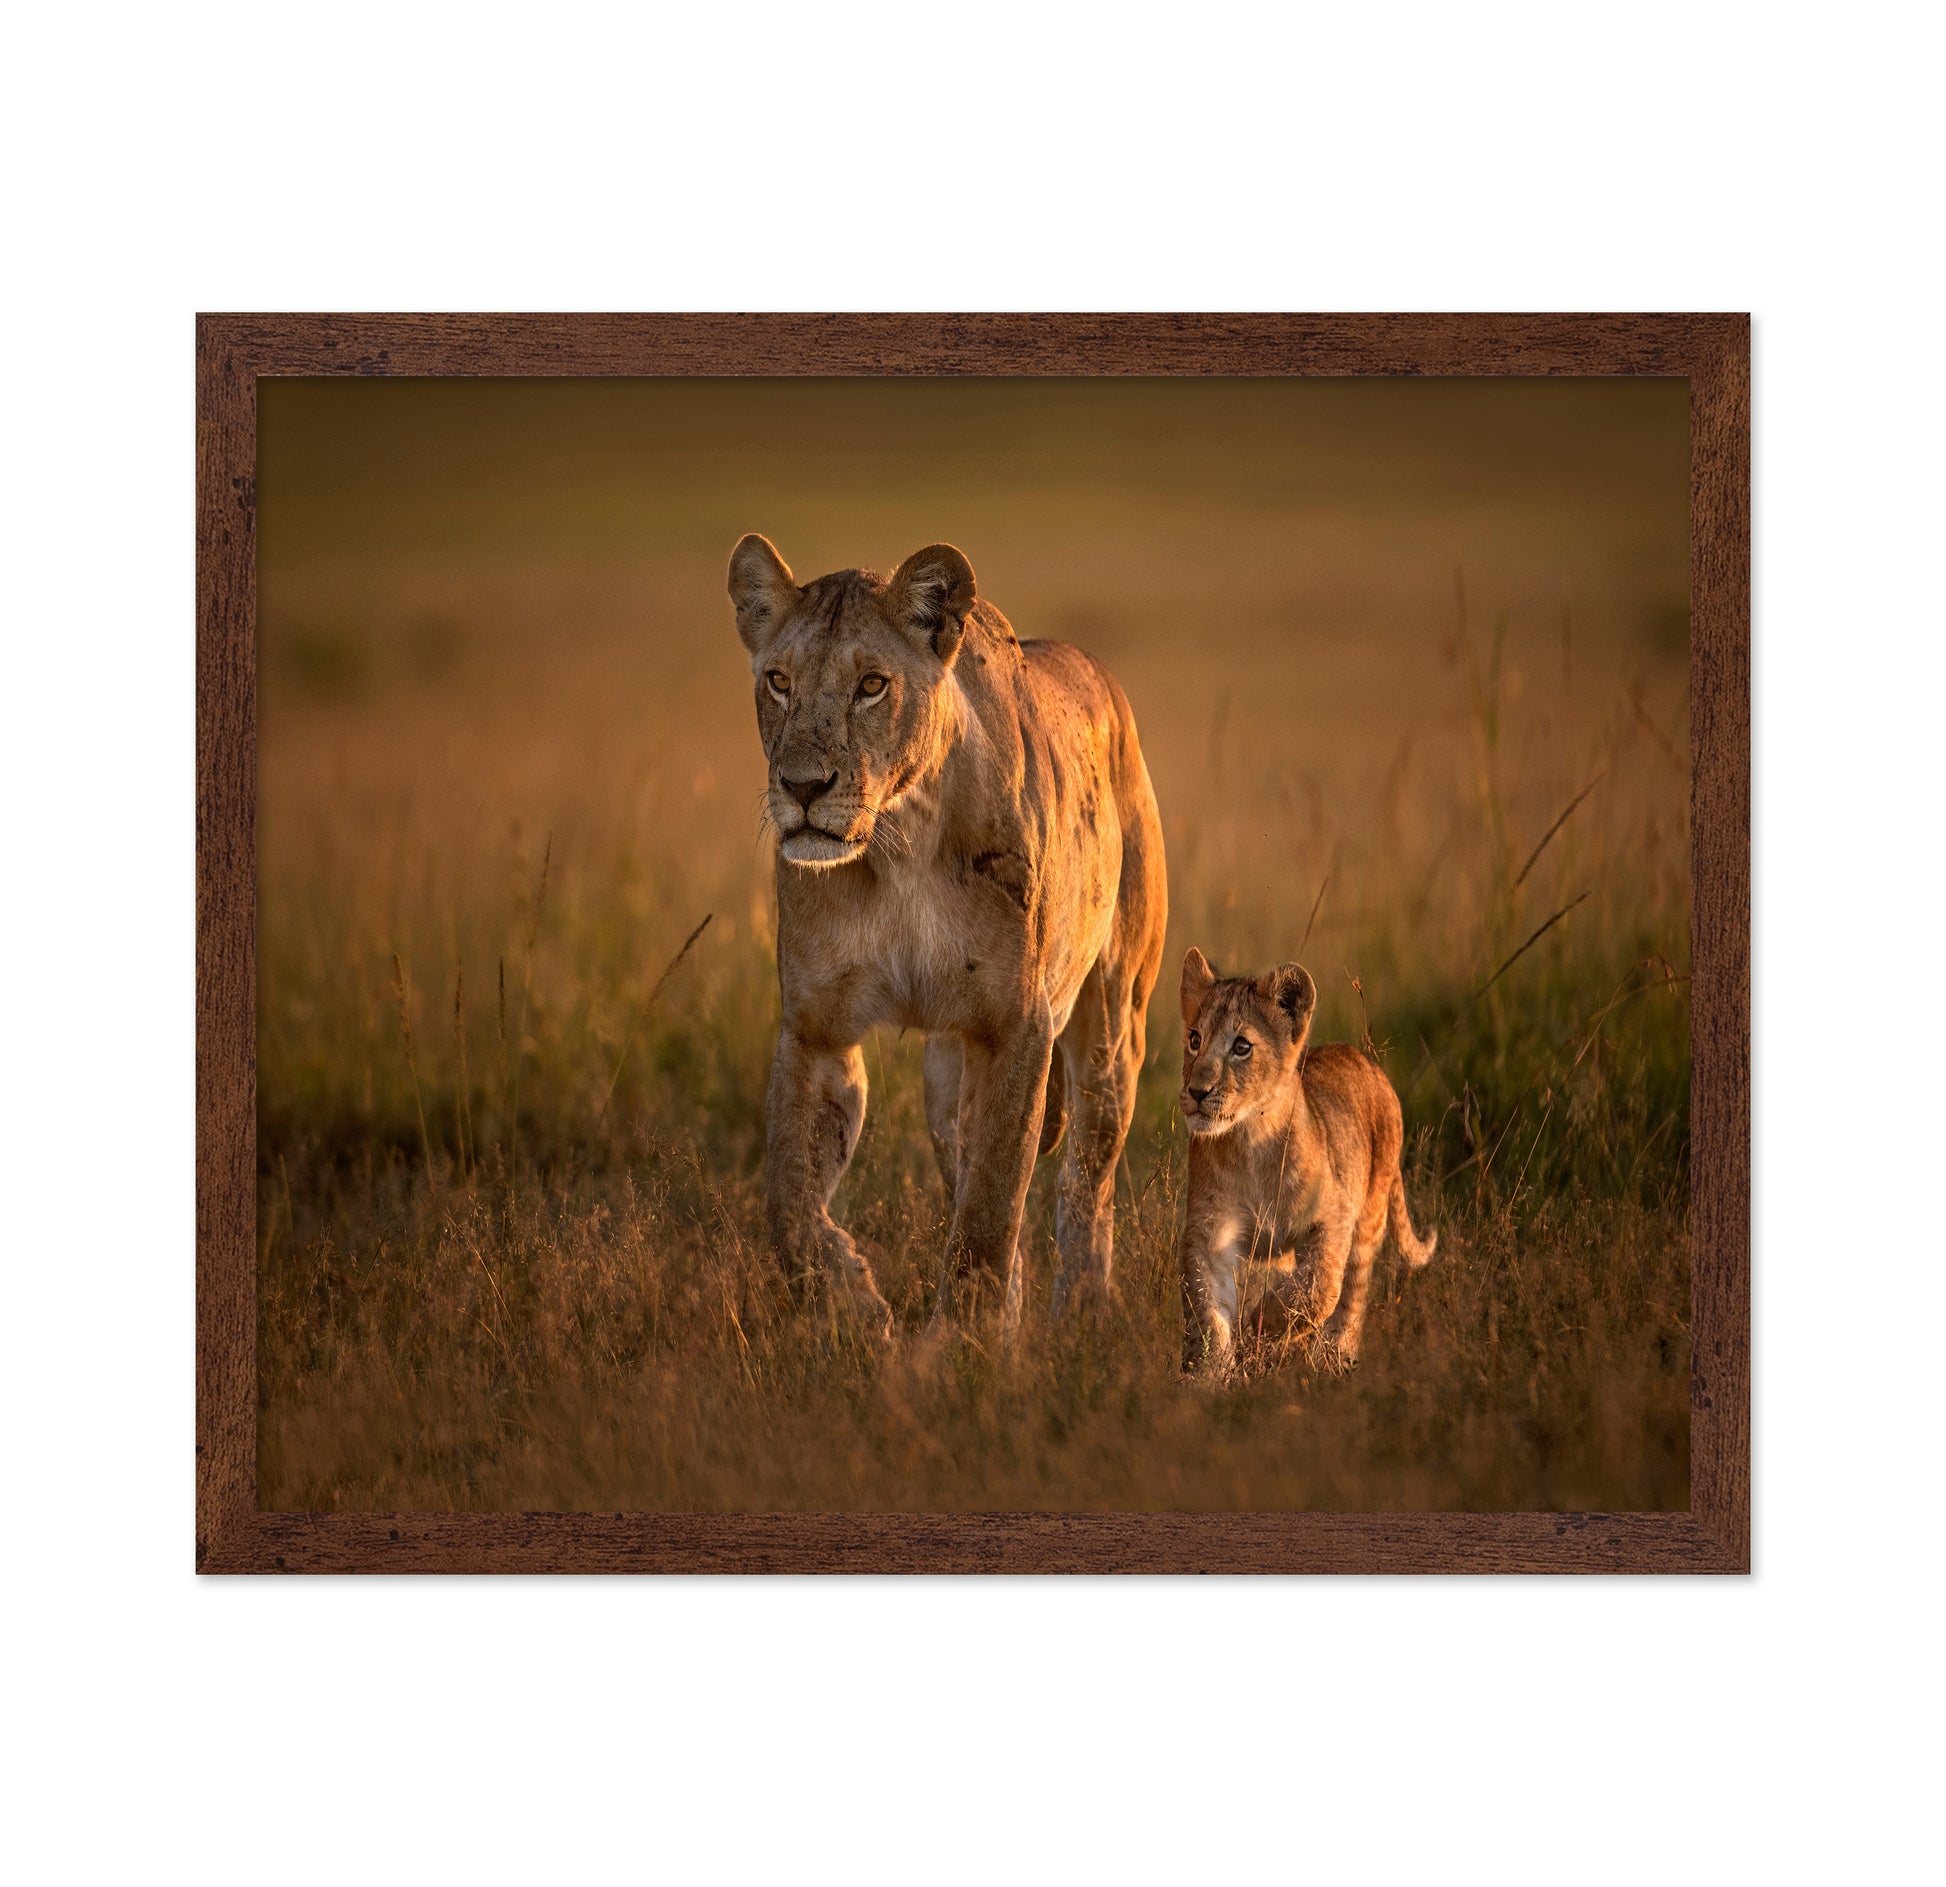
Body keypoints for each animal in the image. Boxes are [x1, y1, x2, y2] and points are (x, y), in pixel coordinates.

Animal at [728, 534, 1168, 1333]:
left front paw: (964, 1343)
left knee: (1088, 1180)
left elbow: (990, 1209)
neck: (899, 841)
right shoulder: (815, 1029)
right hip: (944, 1078)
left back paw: (1082, 1314)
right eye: (777, 681)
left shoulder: (1015, 1026)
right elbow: (790, 1204)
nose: (802, 786)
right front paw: (855, 1305)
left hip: (1114, 1023)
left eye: (872, 685)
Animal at [1174, 947, 1436, 1374]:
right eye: (1195, 1039)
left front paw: (1261, 1324)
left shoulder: (1333, 1215)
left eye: (1242, 1047)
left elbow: (1320, 1286)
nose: (1197, 1091)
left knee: (1352, 1294)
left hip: (1370, 1214)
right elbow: (1207, 1312)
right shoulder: (1210, 1231)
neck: (1251, 1140)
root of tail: (1366, 1060)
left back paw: (1335, 1357)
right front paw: (1209, 1375)